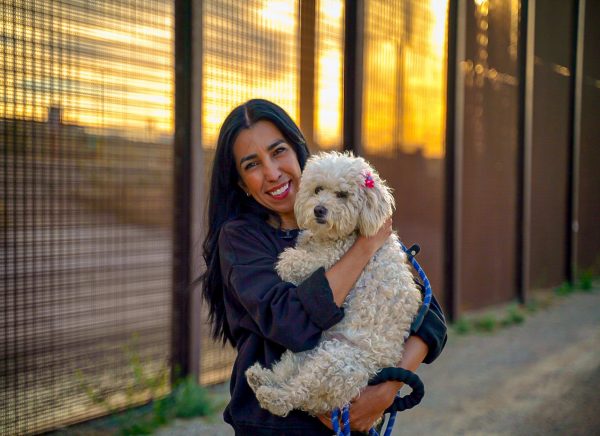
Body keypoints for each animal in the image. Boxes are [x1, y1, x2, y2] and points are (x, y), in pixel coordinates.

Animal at [245, 152, 422, 418]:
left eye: (342, 194)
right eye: (318, 189)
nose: (319, 209)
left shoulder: (333, 257)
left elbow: (309, 260)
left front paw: (287, 261)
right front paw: (303, 240)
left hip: (334, 361)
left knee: (297, 393)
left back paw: (271, 394)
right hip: (309, 351)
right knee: (288, 375)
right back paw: (260, 377)